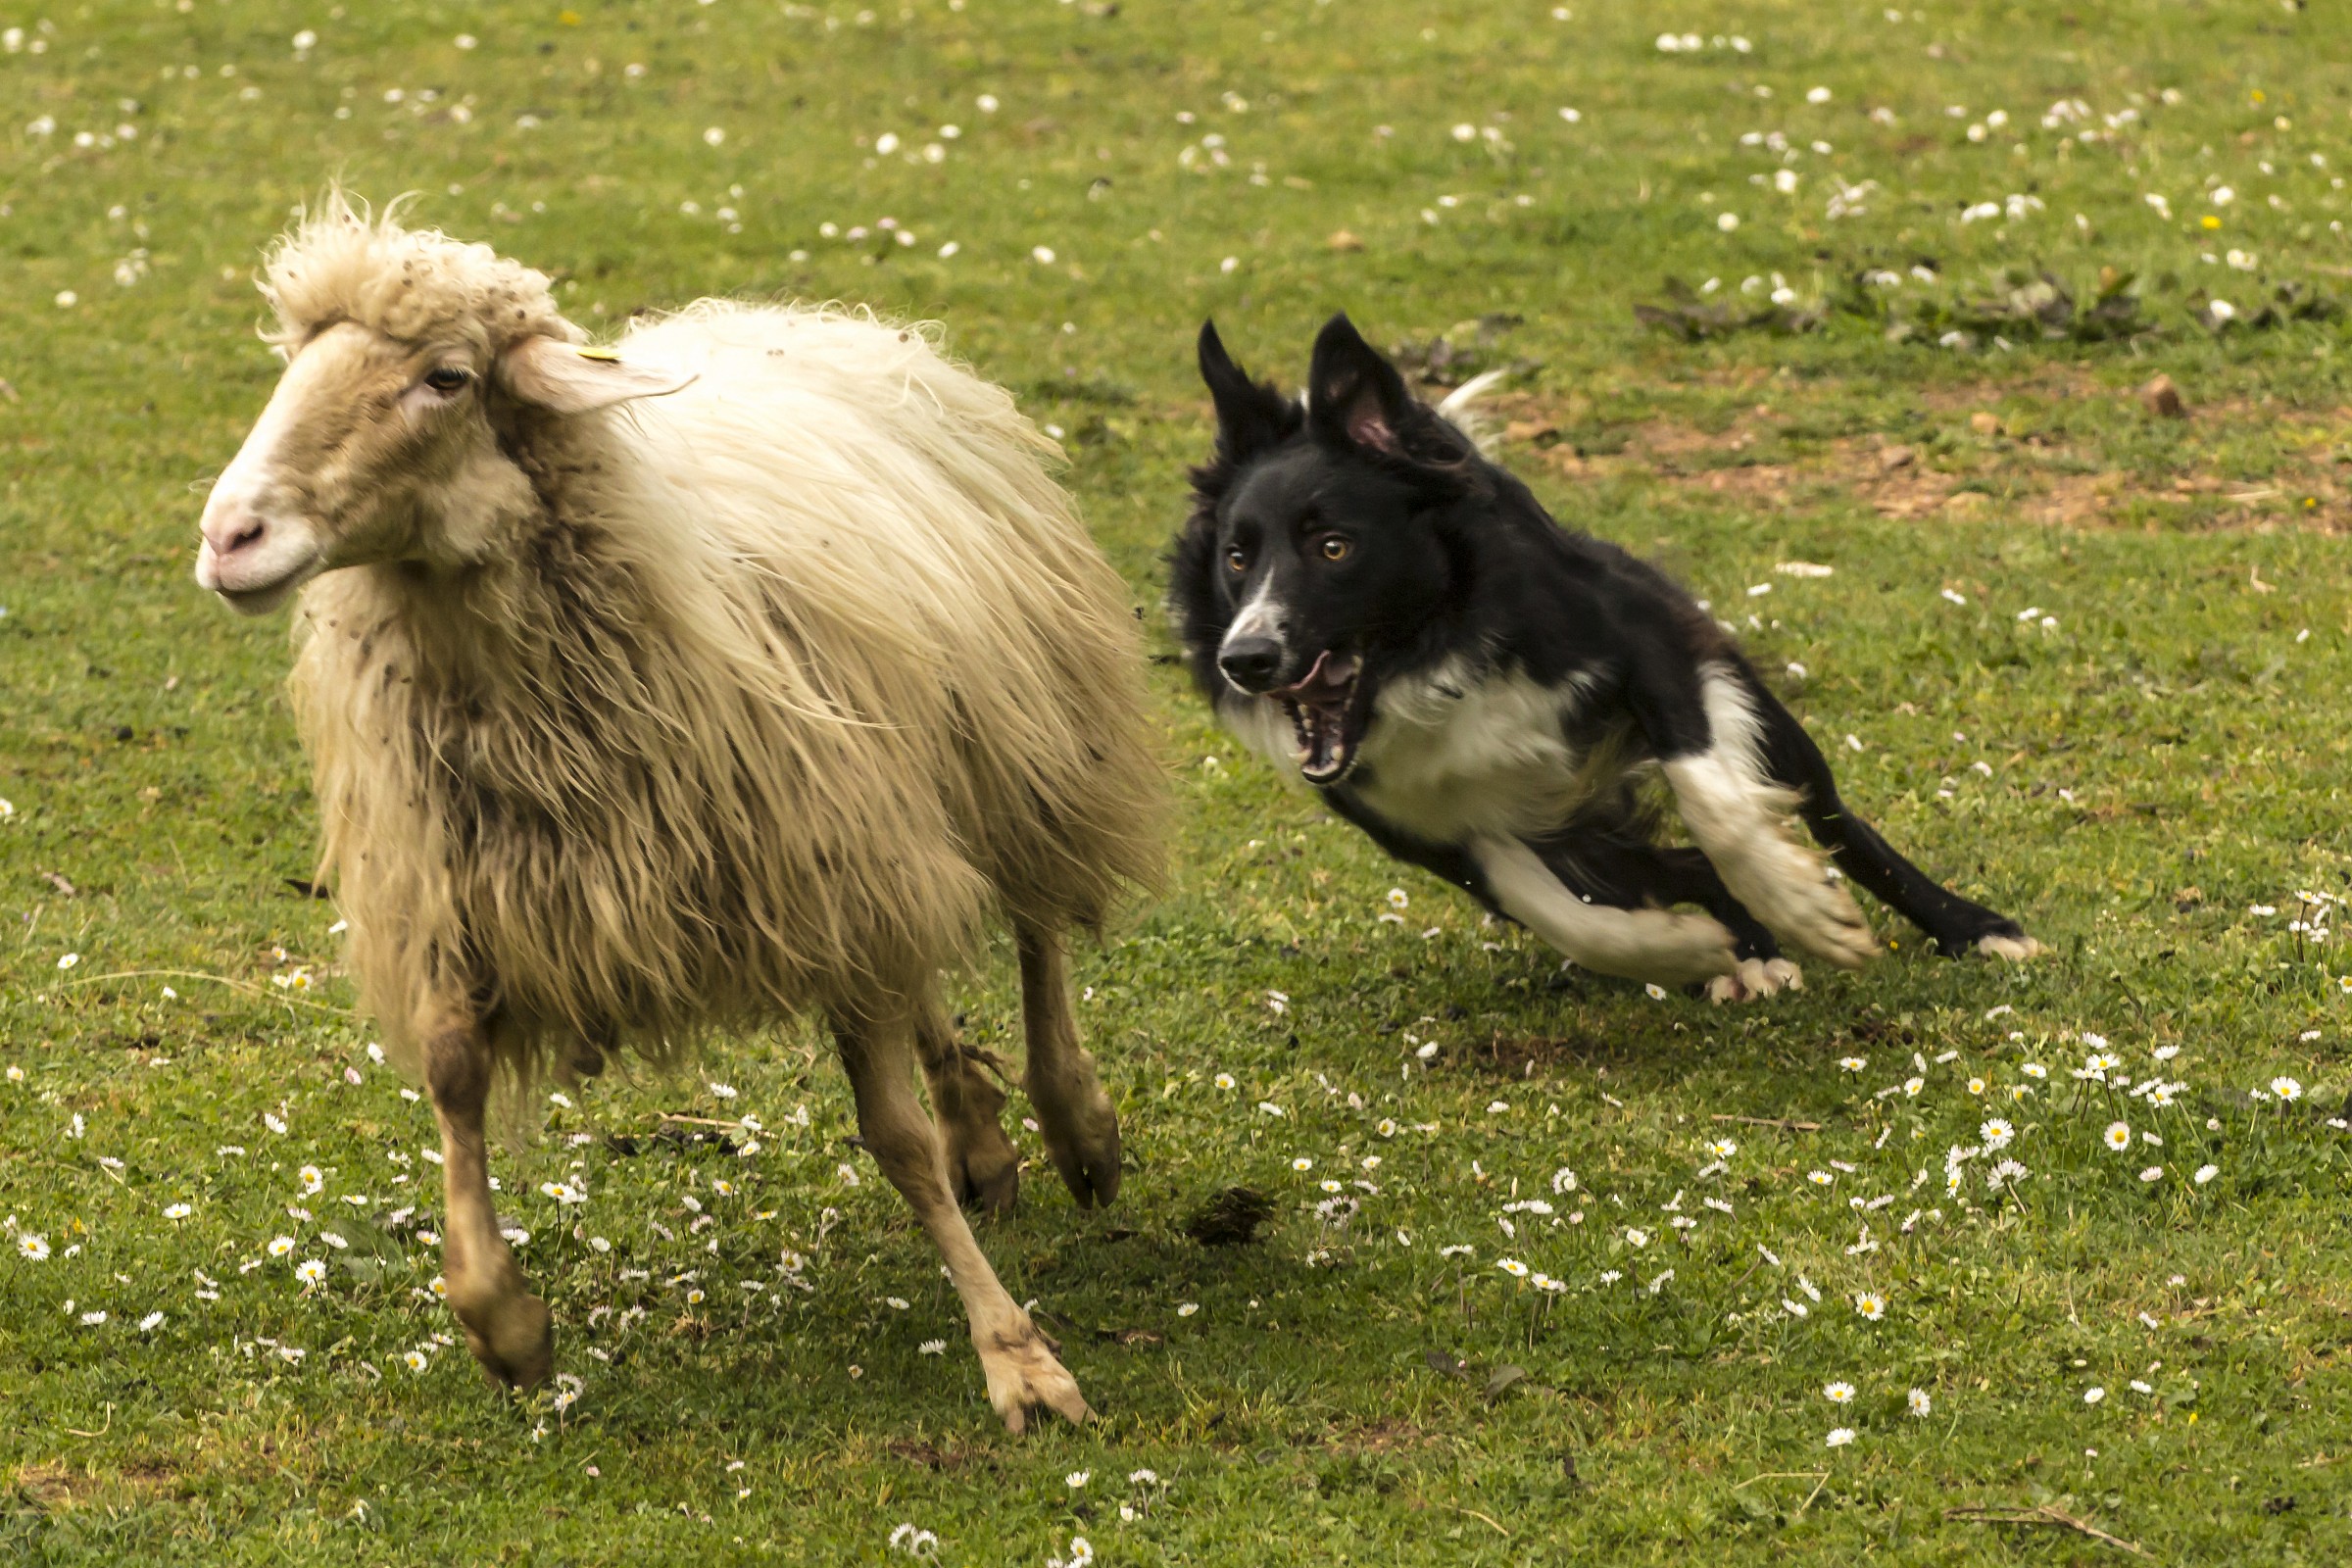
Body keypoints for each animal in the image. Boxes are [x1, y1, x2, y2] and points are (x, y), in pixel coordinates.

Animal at [192, 199, 1166, 1439]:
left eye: (446, 377)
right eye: (295, 361)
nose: (229, 535)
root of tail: (823, 322)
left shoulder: (824, 866)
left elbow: (893, 1139)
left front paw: (1017, 1357)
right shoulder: (462, 893)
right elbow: (454, 1079)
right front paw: (504, 1321)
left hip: (1026, 738)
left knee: (1039, 929)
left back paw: (1076, 1123)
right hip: (892, 800)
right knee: (933, 965)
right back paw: (983, 1131)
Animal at [1176, 315, 2041, 1005]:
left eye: (1334, 546)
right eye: (1236, 557)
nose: (1246, 657)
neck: (1433, 657)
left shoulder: (1645, 639)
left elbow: (1715, 803)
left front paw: (1807, 910)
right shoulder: (1435, 828)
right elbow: (1568, 916)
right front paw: (1685, 952)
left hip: (1768, 728)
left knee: (1830, 820)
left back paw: (1964, 927)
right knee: (1671, 869)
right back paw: (1747, 951)